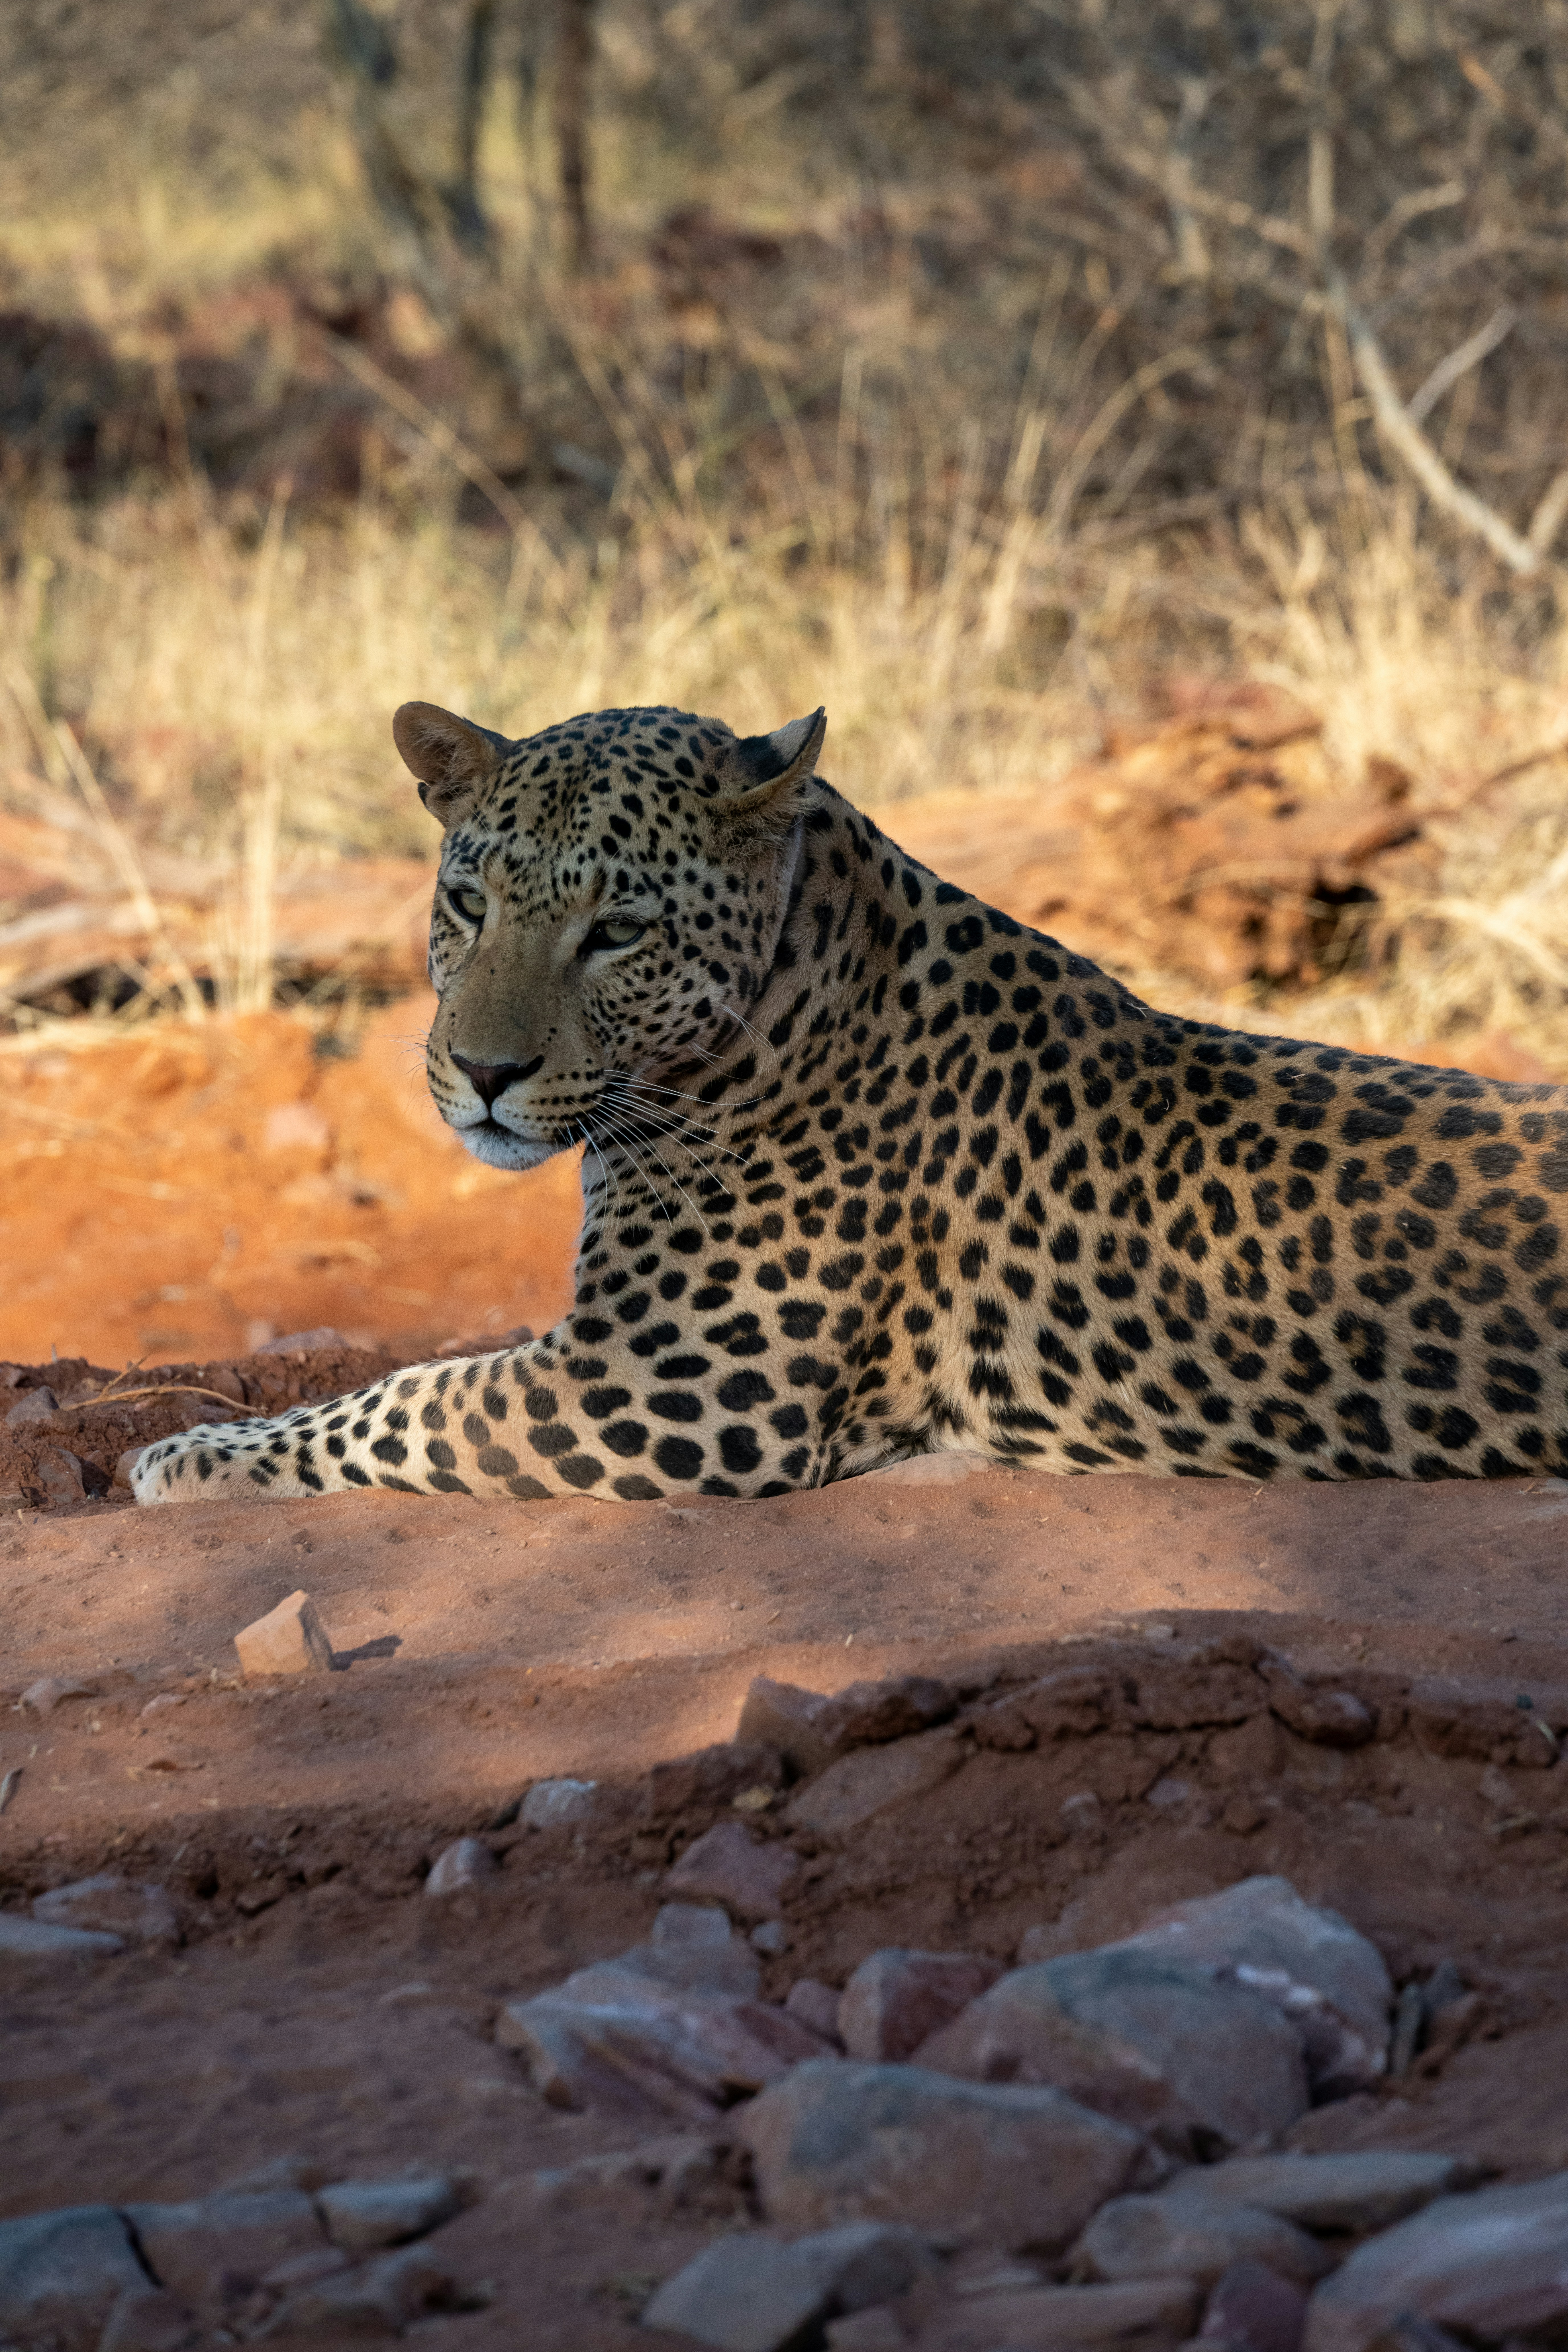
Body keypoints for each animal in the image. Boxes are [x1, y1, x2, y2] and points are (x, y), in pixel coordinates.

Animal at [133, 694, 1568, 1508]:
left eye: (618, 932)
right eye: (469, 904)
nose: (483, 1074)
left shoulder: (661, 1390)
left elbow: (407, 1397)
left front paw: (191, 1461)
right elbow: (404, 1387)